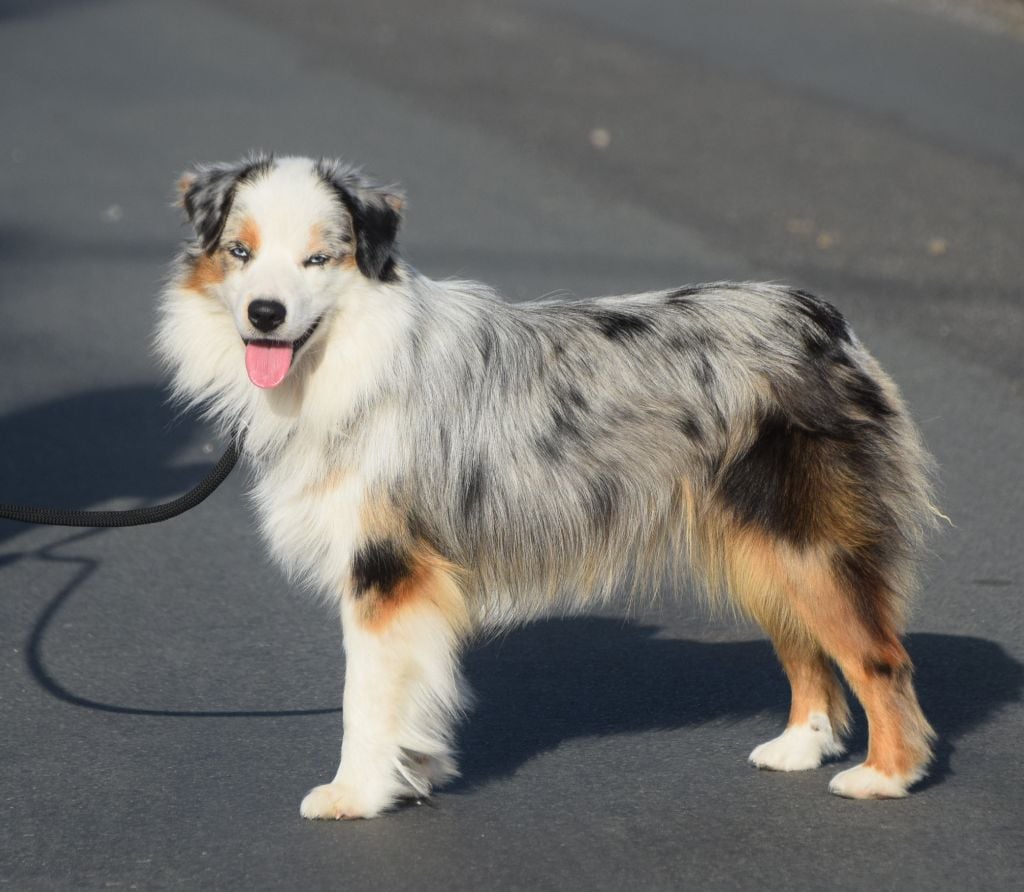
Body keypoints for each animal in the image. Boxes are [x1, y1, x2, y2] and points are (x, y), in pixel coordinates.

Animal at [153, 151, 937, 815]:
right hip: (761, 547)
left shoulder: (386, 568)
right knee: (807, 648)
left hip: (807, 544)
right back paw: (799, 746)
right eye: (240, 252)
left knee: (881, 658)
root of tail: (824, 322)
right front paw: (415, 770)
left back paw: (885, 775)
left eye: (319, 258)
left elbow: (365, 697)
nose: (265, 314)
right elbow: (414, 692)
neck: (353, 354)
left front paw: (355, 793)